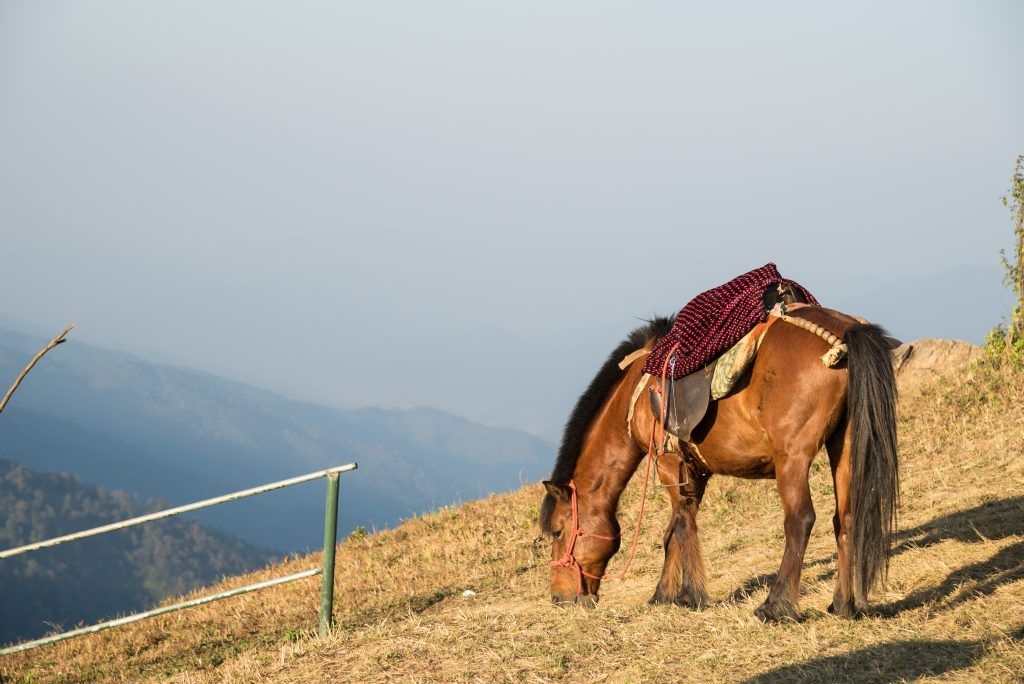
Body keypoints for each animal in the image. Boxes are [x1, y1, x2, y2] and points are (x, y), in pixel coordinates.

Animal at [540, 309, 901, 618]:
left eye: (558, 531)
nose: (559, 599)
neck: (636, 392)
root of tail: (844, 333)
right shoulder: (692, 470)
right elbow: (673, 530)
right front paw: (664, 594)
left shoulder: (668, 463)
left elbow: (682, 526)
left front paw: (689, 595)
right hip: (845, 445)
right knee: (847, 518)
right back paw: (844, 605)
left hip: (792, 458)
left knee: (800, 520)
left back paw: (776, 606)